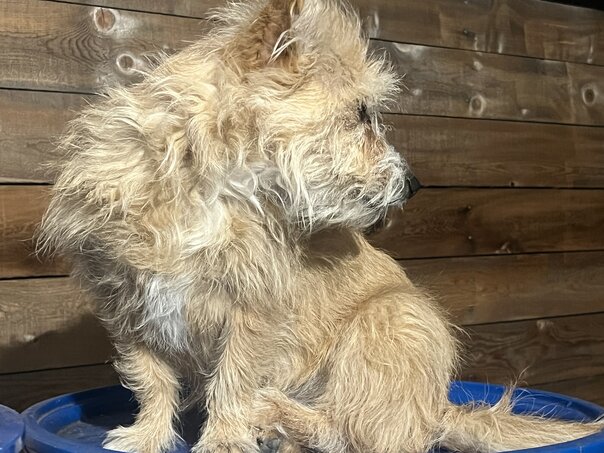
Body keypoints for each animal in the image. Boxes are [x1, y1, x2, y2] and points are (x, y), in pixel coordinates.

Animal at [38, 0, 603, 452]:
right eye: (361, 114)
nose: (414, 183)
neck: (209, 186)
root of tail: (435, 406)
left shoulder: (253, 313)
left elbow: (233, 380)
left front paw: (223, 439)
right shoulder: (126, 305)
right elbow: (152, 380)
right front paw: (147, 436)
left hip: (392, 318)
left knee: (353, 429)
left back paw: (275, 413)